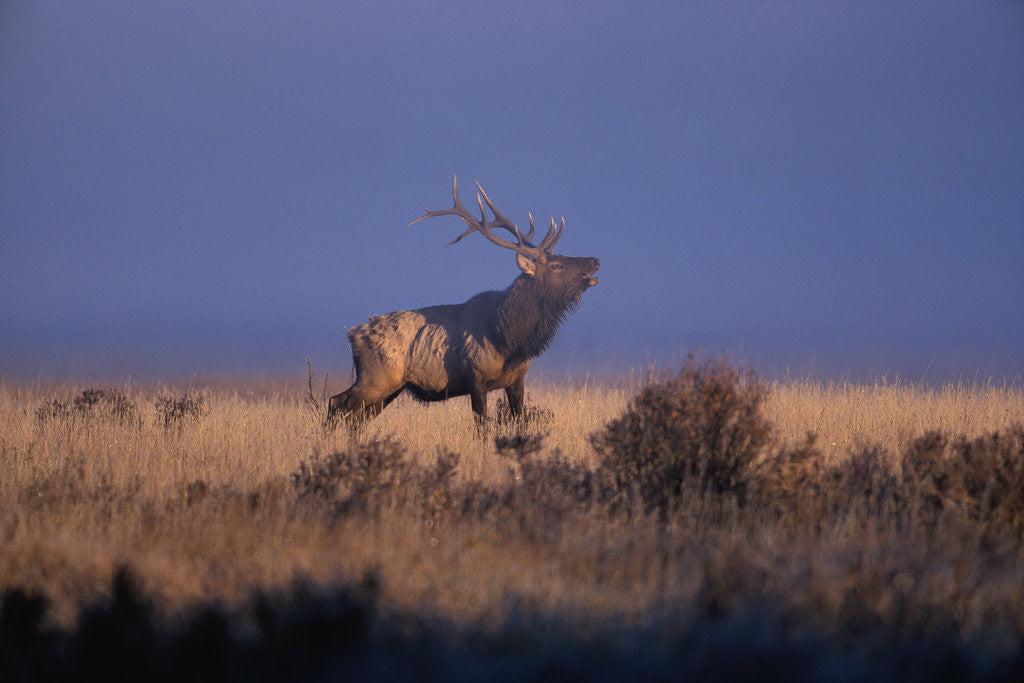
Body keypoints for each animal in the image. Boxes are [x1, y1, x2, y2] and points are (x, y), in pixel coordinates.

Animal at [327, 176, 598, 428]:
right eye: (556, 265)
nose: (594, 260)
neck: (508, 340)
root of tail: (353, 334)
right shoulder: (475, 377)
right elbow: (482, 427)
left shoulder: (516, 379)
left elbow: (520, 419)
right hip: (375, 378)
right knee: (335, 402)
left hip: (390, 388)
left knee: (357, 421)